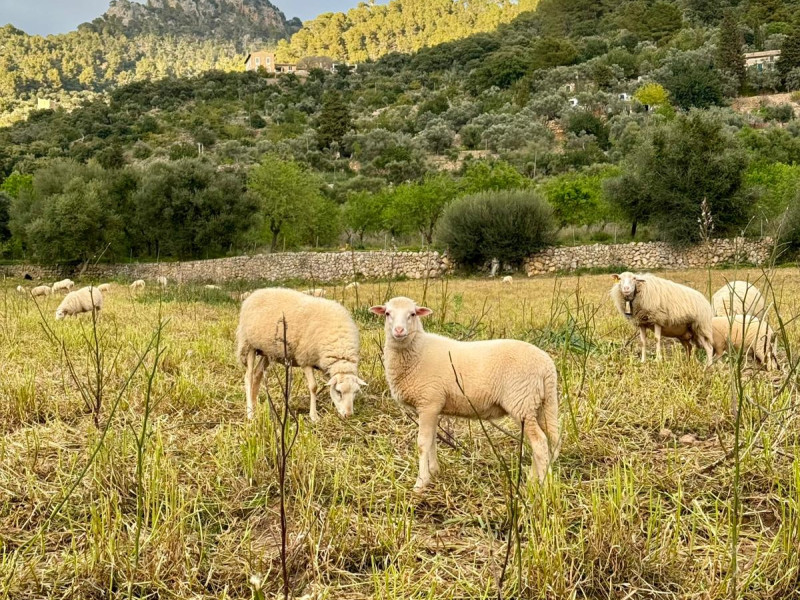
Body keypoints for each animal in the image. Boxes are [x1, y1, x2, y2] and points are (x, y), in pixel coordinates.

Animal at [234, 288, 366, 422]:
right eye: (339, 392)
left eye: (356, 392)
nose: (348, 415)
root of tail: (256, 293)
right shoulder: (305, 359)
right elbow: (313, 387)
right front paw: (314, 416)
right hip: (248, 344)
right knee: (248, 376)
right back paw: (250, 413)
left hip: (268, 350)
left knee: (257, 374)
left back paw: (255, 406)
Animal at [372, 296, 560, 492]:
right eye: (387, 313)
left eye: (413, 314)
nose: (399, 330)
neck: (419, 350)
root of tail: (547, 365)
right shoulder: (432, 406)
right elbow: (432, 440)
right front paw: (434, 472)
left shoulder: (428, 402)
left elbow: (423, 443)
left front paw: (421, 483)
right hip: (540, 405)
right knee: (547, 441)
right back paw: (534, 481)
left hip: (522, 401)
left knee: (539, 442)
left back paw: (540, 486)